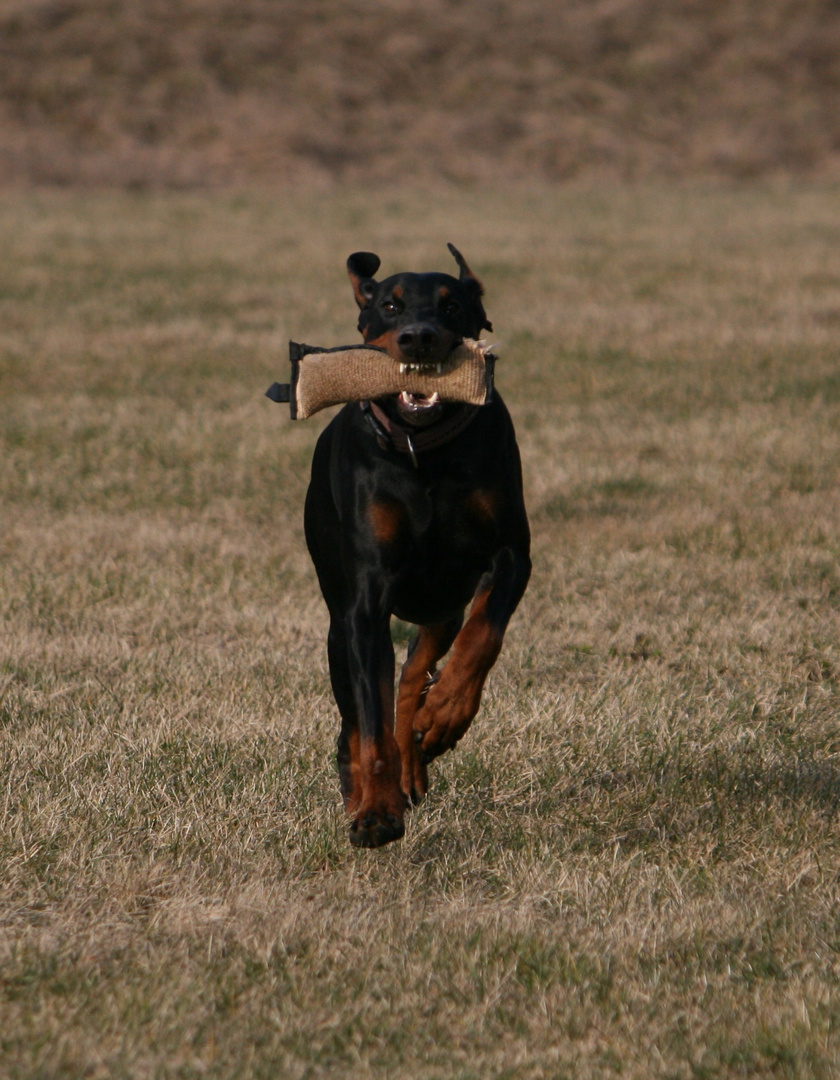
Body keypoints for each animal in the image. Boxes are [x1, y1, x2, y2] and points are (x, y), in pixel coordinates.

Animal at [302, 245, 531, 842]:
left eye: (452, 305)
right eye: (390, 305)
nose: (419, 337)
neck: (422, 452)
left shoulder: (509, 556)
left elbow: (482, 638)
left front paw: (446, 714)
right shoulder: (365, 600)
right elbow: (370, 719)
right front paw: (377, 812)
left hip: (441, 602)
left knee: (411, 674)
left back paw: (420, 744)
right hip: (339, 620)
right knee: (356, 719)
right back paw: (362, 790)